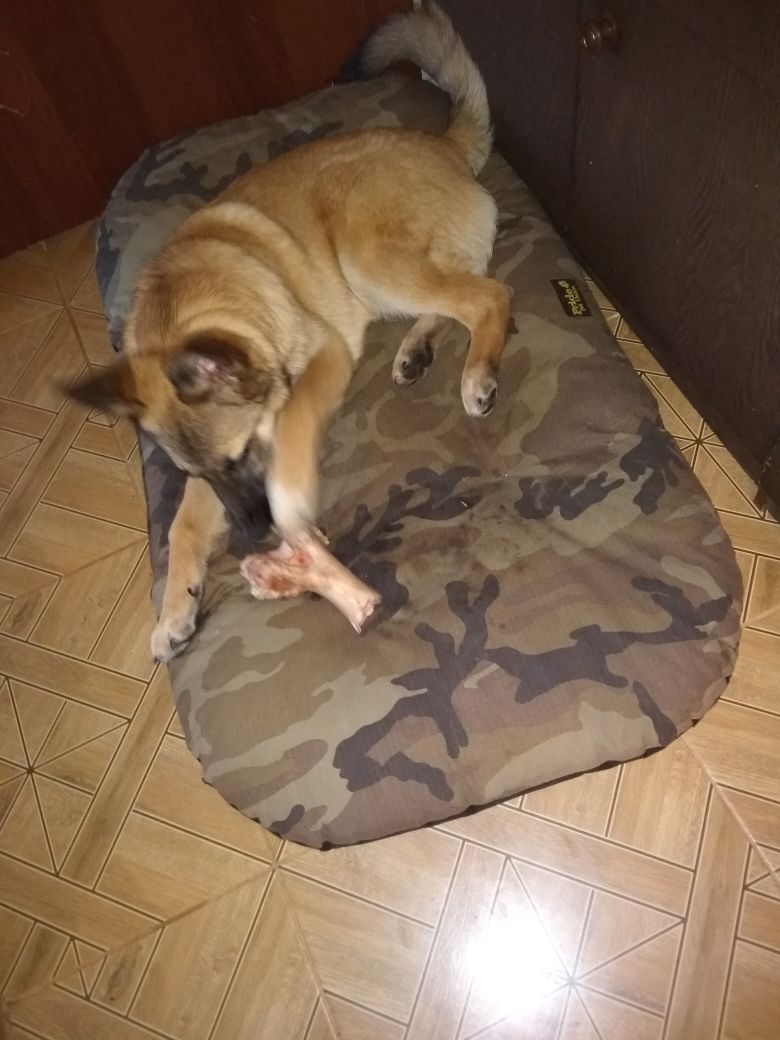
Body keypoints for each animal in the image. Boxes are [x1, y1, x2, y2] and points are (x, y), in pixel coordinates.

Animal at [68, 0, 510, 662]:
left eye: (245, 455)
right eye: (202, 473)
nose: (255, 536)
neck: (194, 300)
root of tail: (443, 144)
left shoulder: (324, 355)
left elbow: (297, 419)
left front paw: (291, 492)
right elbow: (184, 523)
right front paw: (176, 607)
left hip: (363, 252)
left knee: (488, 296)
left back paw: (476, 371)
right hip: (385, 276)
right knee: (458, 294)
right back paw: (417, 352)